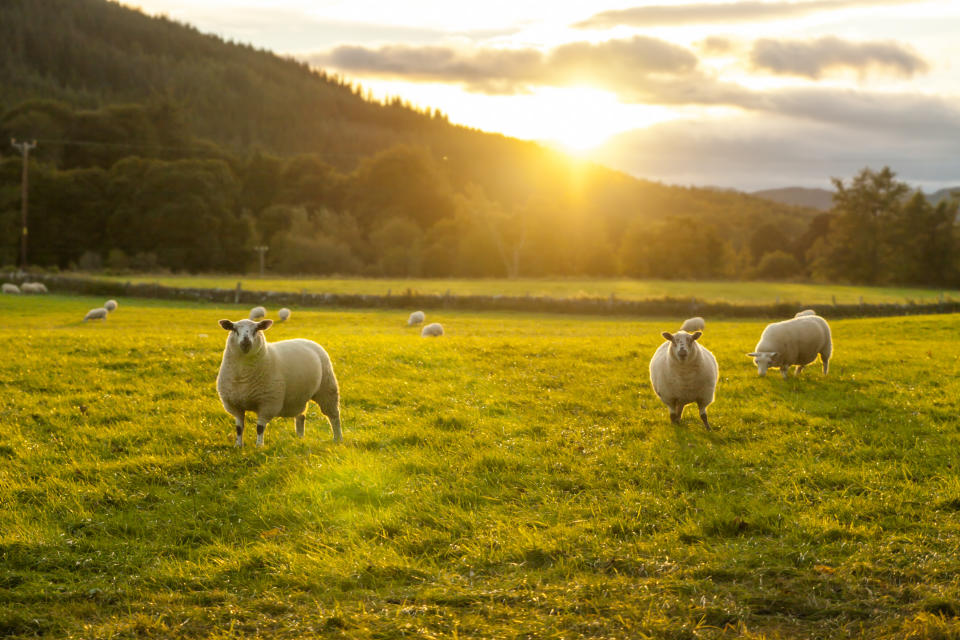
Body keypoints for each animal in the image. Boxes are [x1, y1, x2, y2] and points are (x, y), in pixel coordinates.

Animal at [217, 318, 342, 448]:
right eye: (234, 329)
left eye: (256, 329)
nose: (246, 343)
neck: (243, 377)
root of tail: (306, 340)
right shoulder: (234, 405)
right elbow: (239, 428)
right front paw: (238, 445)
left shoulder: (267, 403)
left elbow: (260, 428)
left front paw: (259, 446)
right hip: (299, 396)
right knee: (301, 416)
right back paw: (300, 438)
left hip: (327, 388)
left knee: (334, 415)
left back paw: (337, 438)